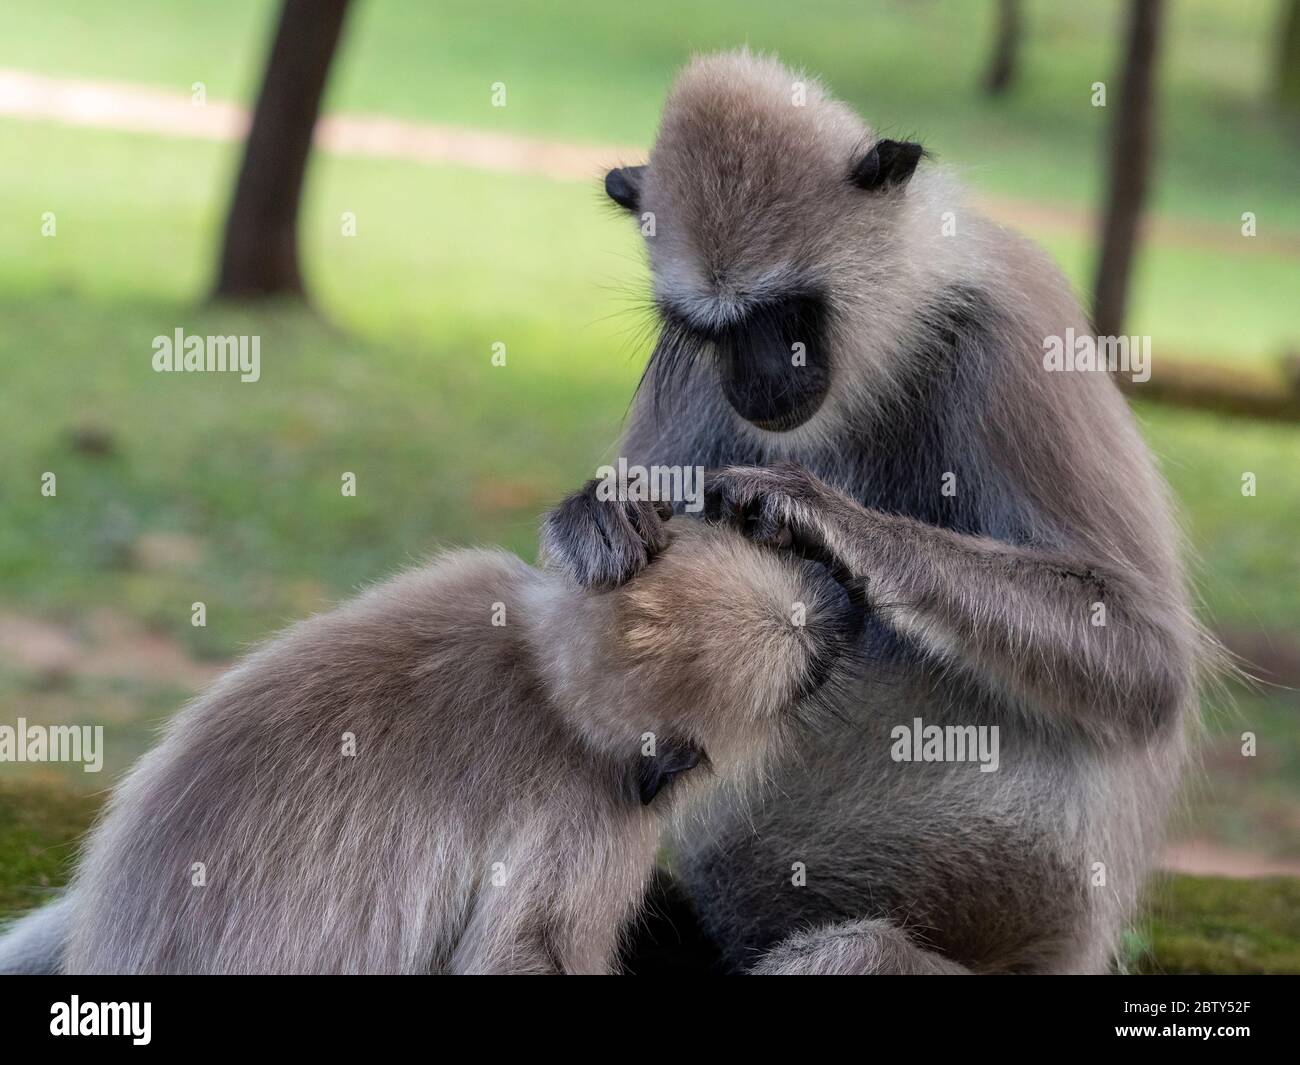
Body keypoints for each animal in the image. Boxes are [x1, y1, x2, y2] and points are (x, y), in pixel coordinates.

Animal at [2, 520, 863, 977]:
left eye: (808, 592)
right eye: (810, 667)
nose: (842, 602)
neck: (543, 686)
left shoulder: (475, 581)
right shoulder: (596, 813)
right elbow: (519, 955)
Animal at [538, 54, 1196, 977]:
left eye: (789, 317)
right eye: (714, 330)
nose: (759, 380)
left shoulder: (1016, 334)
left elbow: (1146, 657)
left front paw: (821, 516)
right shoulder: (689, 364)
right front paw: (593, 513)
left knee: (858, 951)